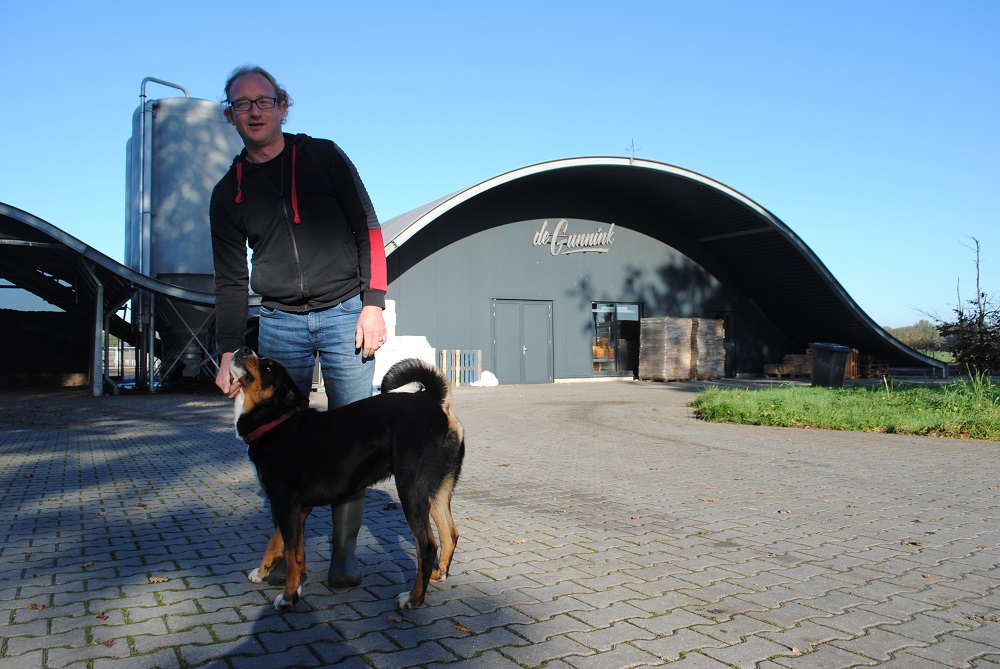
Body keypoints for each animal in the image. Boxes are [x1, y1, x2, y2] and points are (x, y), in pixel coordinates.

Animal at [231, 348, 468, 608]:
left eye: (268, 367)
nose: (244, 349)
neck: (276, 423)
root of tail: (434, 401)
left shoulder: (286, 502)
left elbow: (292, 554)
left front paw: (289, 596)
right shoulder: (298, 506)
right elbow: (281, 544)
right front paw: (263, 572)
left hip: (411, 491)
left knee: (427, 546)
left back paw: (413, 598)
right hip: (436, 491)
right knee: (449, 534)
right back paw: (438, 574)